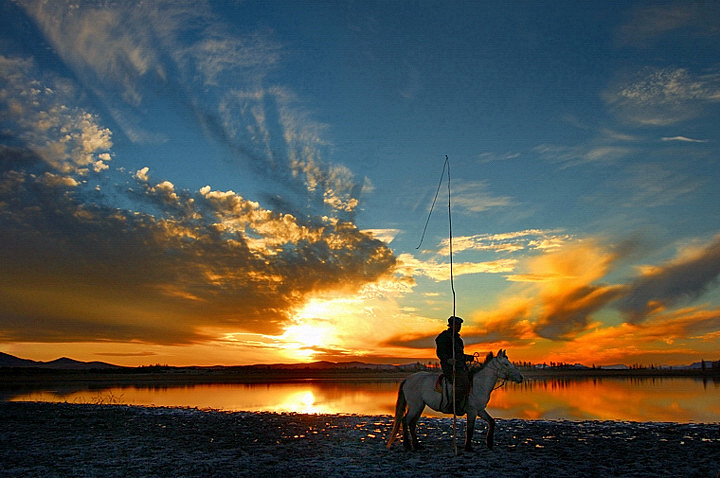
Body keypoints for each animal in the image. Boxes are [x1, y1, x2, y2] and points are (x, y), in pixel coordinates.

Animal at [388, 348, 524, 452]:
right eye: (506, 364)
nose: (521, 377)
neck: (479, 383)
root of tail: (407, 379)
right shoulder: (472, 410)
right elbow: (470, 429)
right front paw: (468, 447)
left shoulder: (480, 410)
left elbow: (491, 421)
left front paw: (489, 443)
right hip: (415, 405)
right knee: (405, 421)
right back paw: (407, 446)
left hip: (420, 406)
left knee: (412, 423)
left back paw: (417, 445)